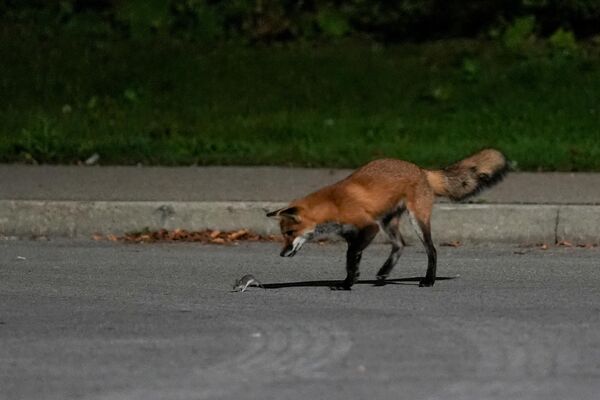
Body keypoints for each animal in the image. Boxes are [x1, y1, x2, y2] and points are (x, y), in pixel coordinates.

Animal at [268, 148, 506, 290]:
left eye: (289, 233)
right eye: (283, 235)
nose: (281, 254)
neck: (333, 205)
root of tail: (420, 169)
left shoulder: (368, 227)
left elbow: (350, 257)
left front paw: (347, 284)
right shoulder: (353, 234)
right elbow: (352, 260)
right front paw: (351, 279)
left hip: (416, 221)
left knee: (431, 250)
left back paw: (428, 280)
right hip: (388, 222)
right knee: (400, 245)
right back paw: (384, 273)